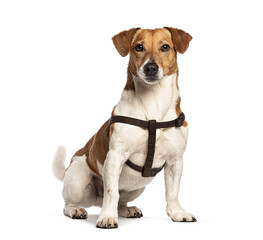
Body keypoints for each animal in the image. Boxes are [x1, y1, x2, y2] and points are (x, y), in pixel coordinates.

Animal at [52, 26, 196, 229]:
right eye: (139, 47)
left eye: (165, 47)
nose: (150, 67)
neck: (153, 103)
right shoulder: (115, 156)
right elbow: (112, 191)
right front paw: (107, 218)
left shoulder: (175, 161)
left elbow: (172, 192)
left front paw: (177, 213)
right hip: (78, 180)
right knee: (70, 203)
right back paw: (77, 210)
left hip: (137, 187)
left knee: (121, 200)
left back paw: (126, 210)